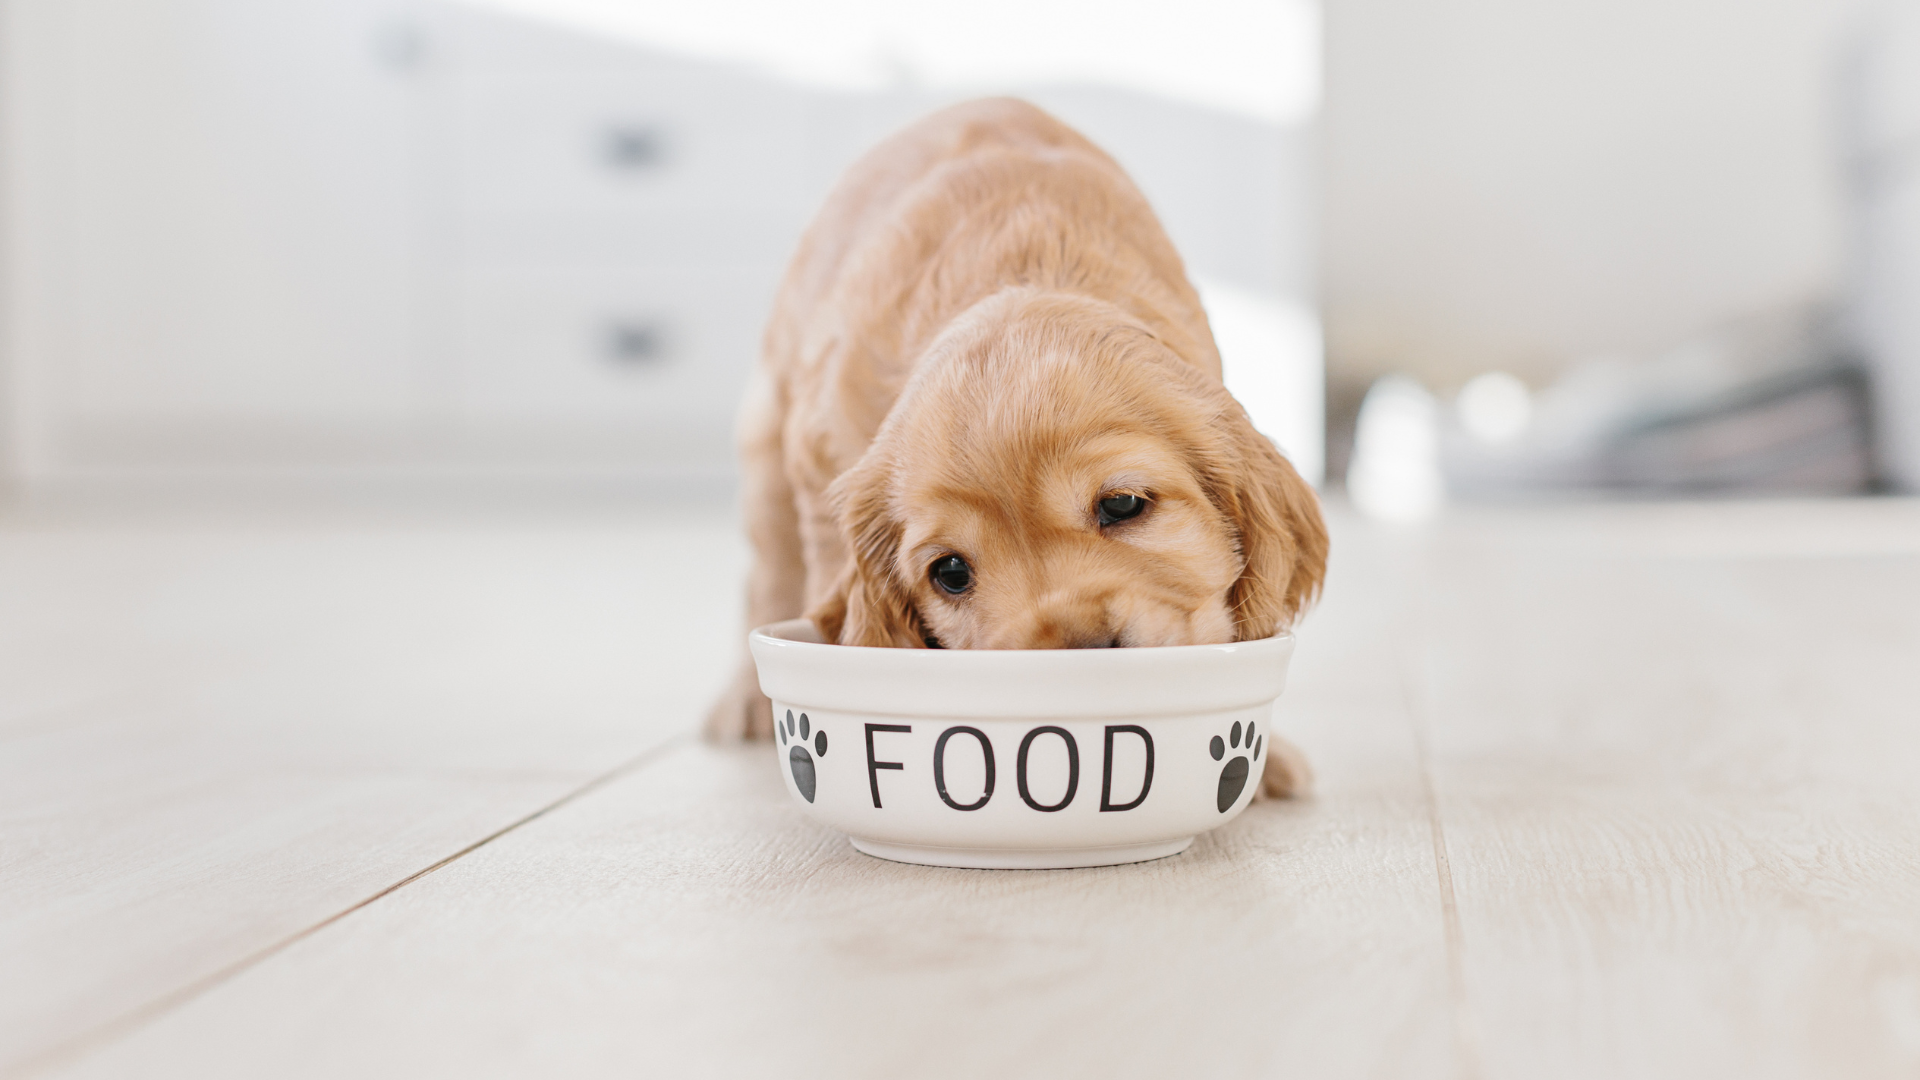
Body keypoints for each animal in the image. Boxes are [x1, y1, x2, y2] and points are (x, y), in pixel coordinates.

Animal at [714, 96, 1328, 795]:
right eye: (951, 572)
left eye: (1123, 505)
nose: (1082, 654)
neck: (1024, 268)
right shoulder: (819, 466)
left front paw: (1264, 758)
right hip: (765, 448)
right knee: (767, 576)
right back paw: (743, 699)